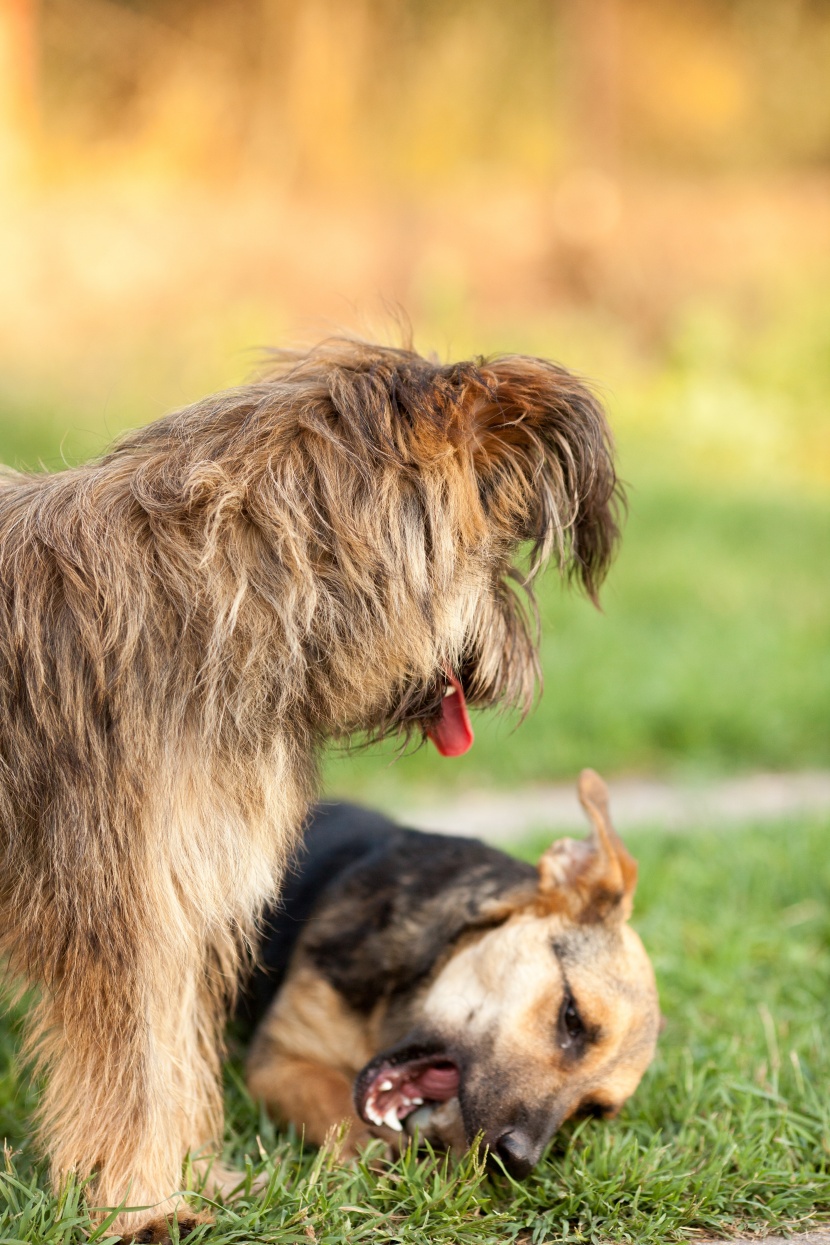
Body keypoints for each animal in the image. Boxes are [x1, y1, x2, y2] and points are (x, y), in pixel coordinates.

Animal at [243, 766, 657, 1175]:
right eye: (572, 1017)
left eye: (593, 1109)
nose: (518, 1163)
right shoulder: (278, 1058)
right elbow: (332, 1100)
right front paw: (367, 1151)